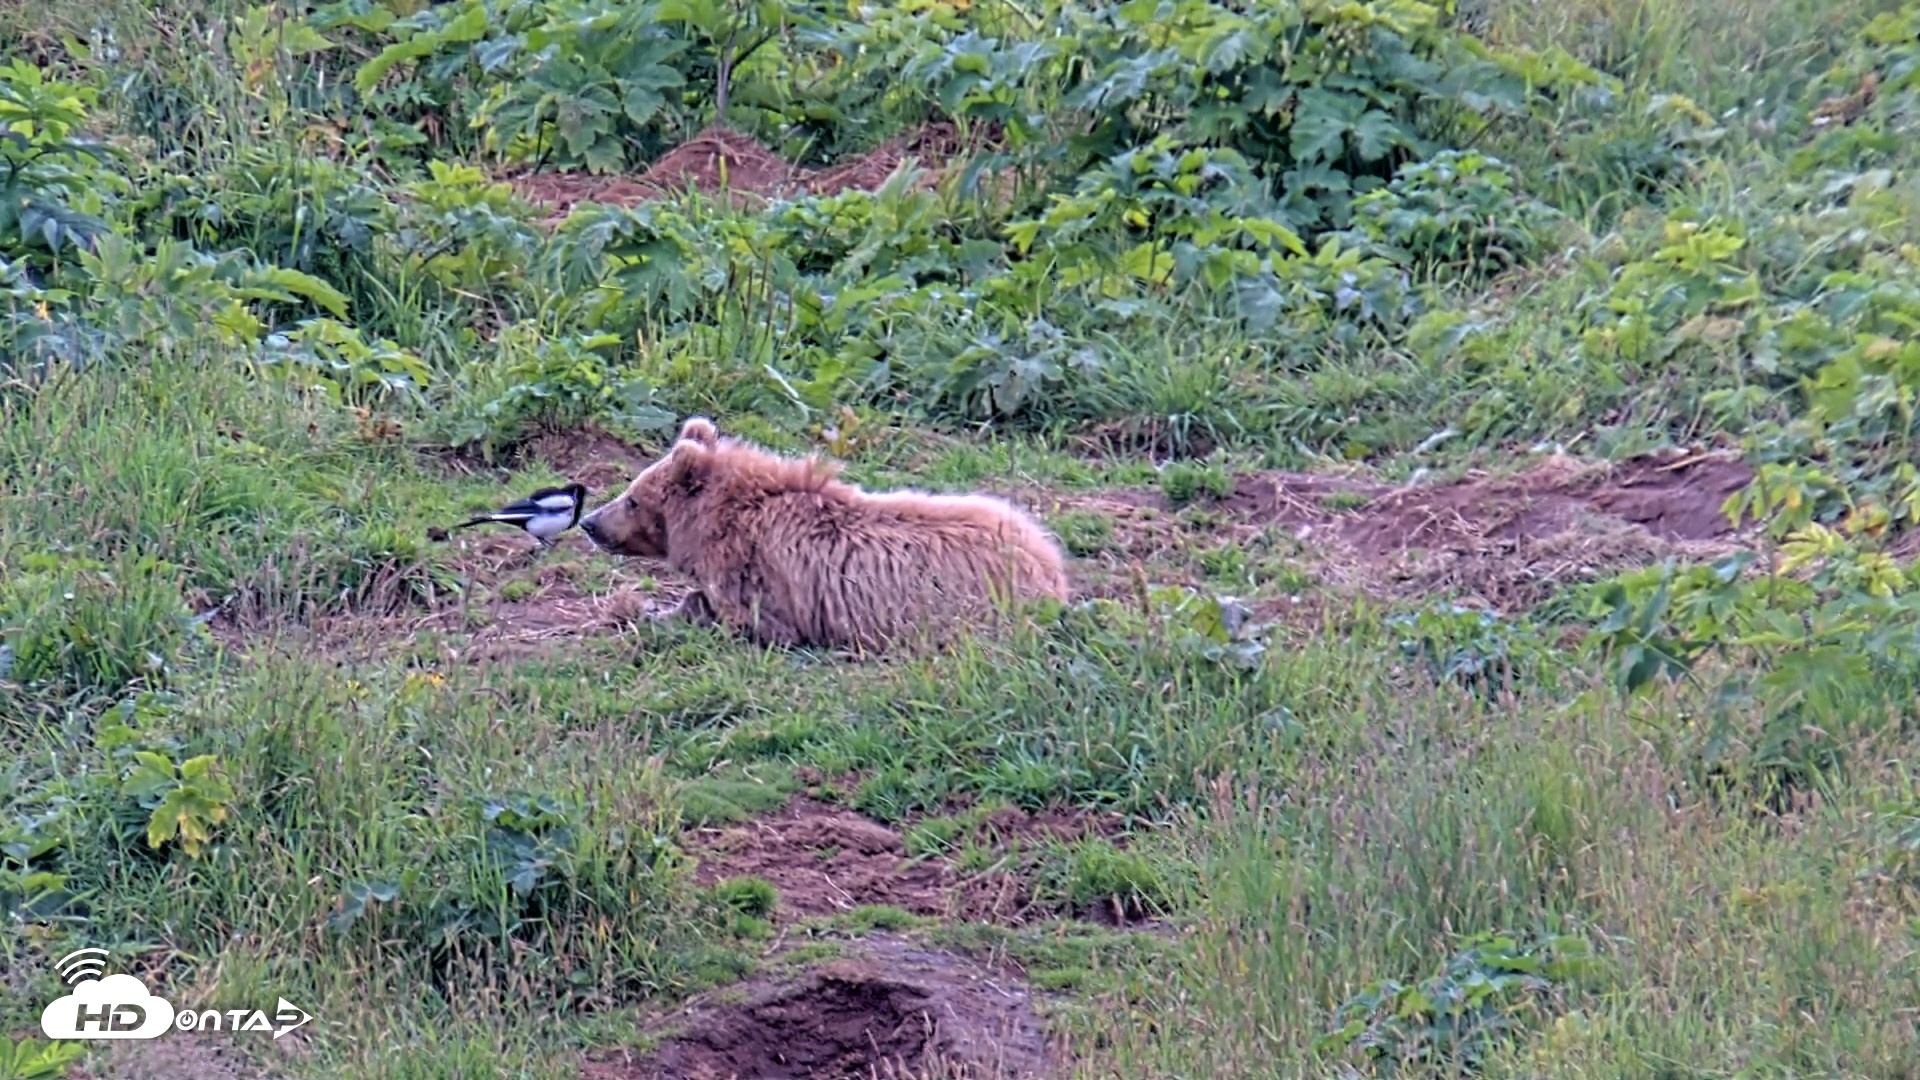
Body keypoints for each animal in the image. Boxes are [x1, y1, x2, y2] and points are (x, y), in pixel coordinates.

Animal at [578, 416, 1071, 652]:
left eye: (633, 498)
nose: (590, 522)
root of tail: (1051, 568)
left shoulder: (761, 576)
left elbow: (746, 617)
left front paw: (653, 613)